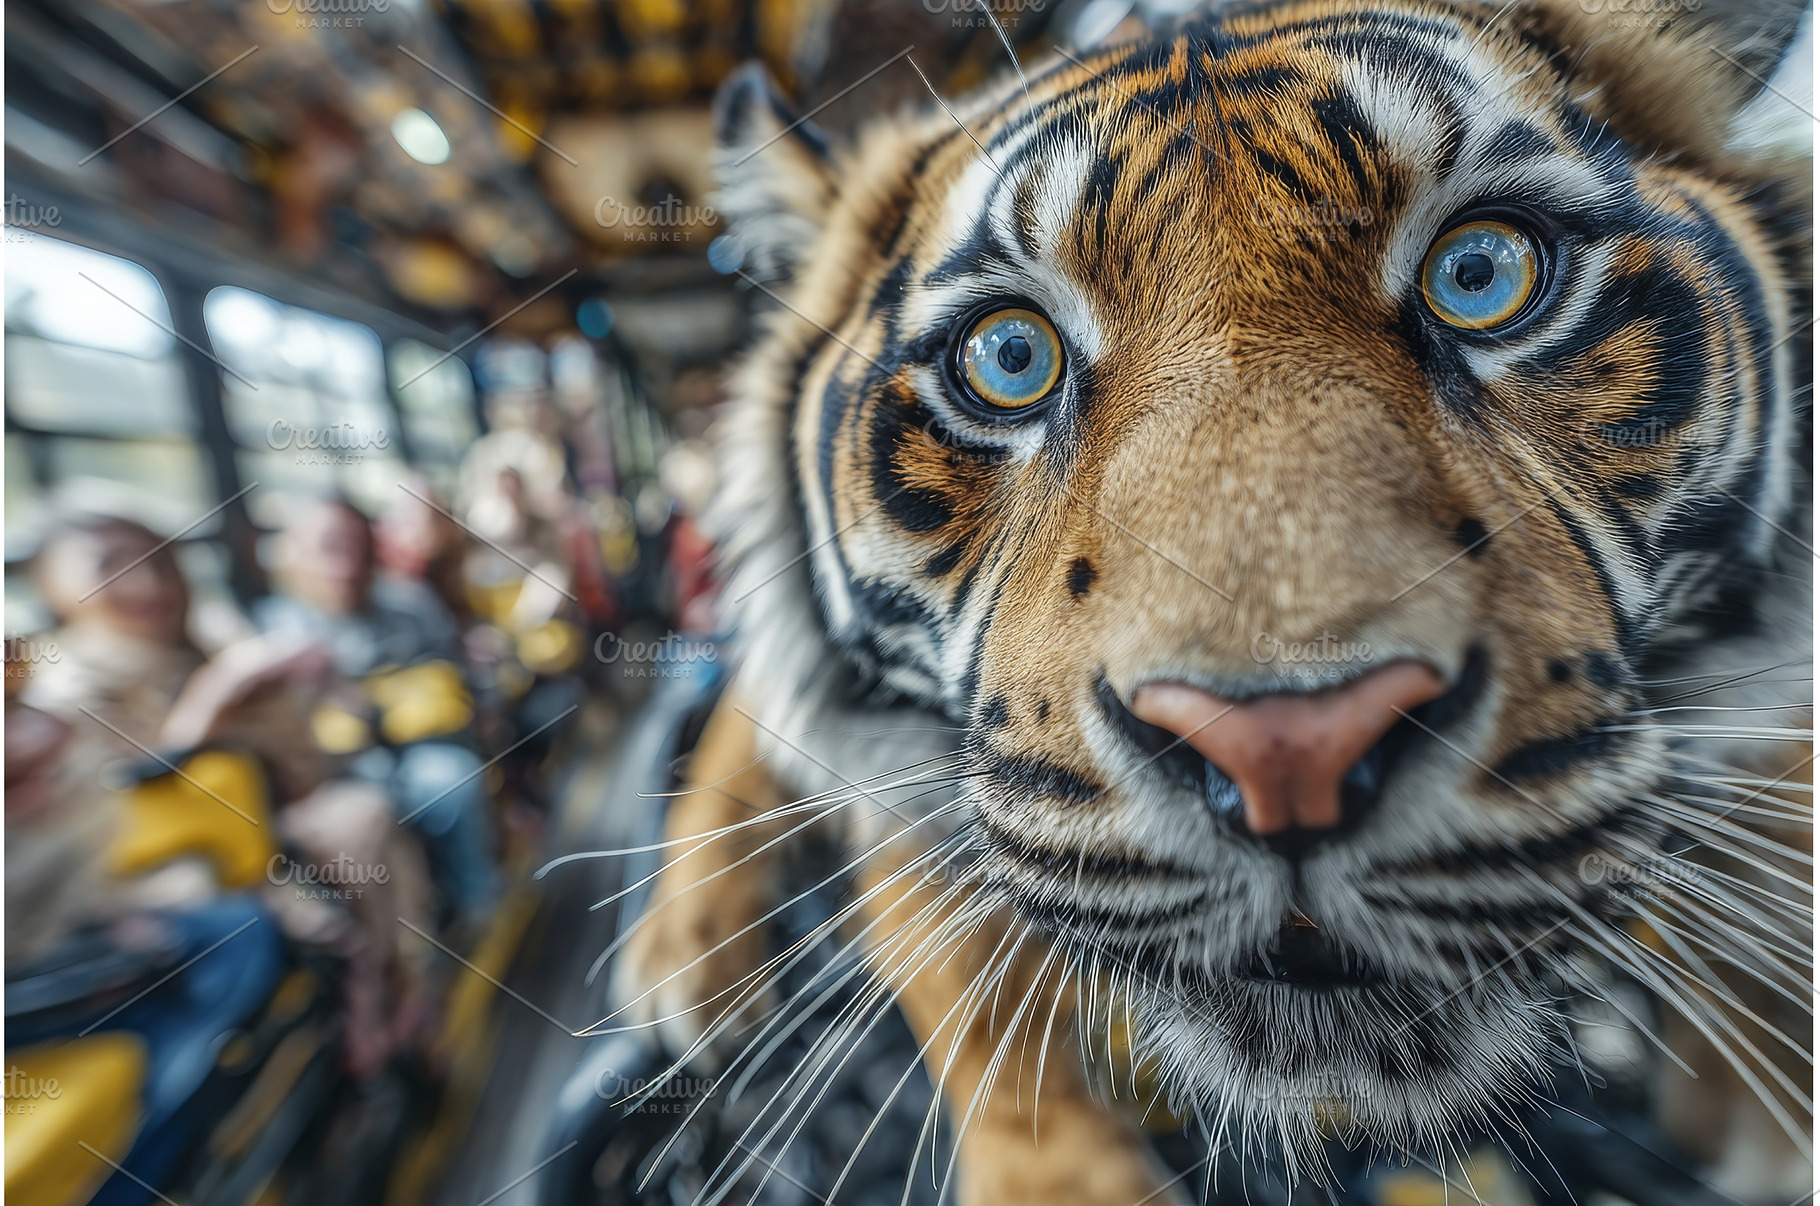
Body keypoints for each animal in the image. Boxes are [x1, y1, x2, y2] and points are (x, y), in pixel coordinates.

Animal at [609, 0, 1813, 1201]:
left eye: (1478, 273)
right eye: (1010, 357)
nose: (1289, 753)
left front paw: (1768, 1084)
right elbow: (969, 993)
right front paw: (1058, 1178)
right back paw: (687, 945)